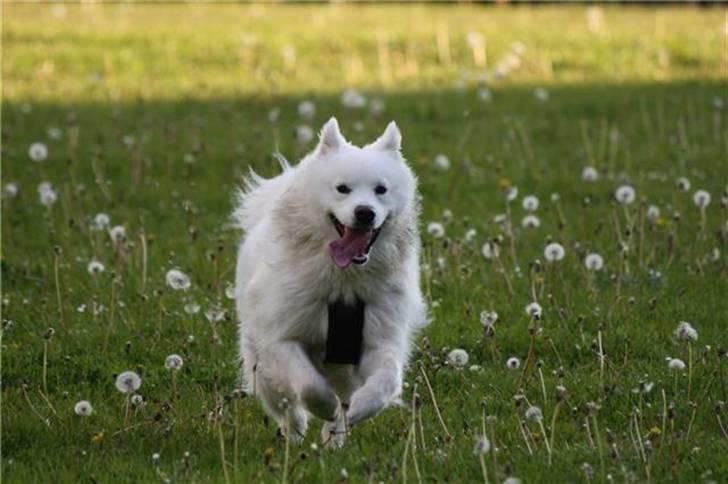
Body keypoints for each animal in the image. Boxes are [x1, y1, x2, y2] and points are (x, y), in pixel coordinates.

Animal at [233, 118, 426, 446]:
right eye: (342, 189)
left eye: (381, 190)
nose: (365, 212)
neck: (344, 284)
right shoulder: (282, 339)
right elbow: (309, 384)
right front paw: (325, 407)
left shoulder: (380, 340)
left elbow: (387, 381)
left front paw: (357, 410)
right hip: (261, 363)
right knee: (286, 406)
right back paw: (296, 436)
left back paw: (334, 438)